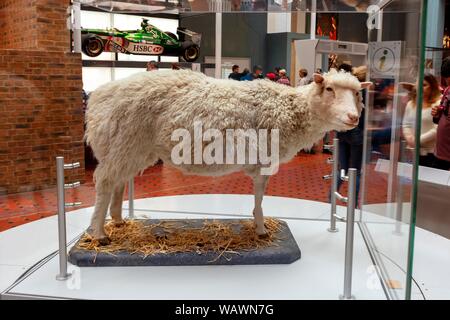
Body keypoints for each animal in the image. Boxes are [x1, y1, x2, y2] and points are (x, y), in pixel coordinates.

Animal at [86, 69, 370, 244]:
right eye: (330, 89)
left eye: (358, 93)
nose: (353, 118)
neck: (291, 109)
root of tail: (98, 97)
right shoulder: (264, 161)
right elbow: (259, 196)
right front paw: (261, 229)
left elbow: (259, 196)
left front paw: (258, 224)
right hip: (125, 143)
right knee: (105, 182)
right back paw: (99, 234)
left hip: (131, 149)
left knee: (118, 183)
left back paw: (119, 221)